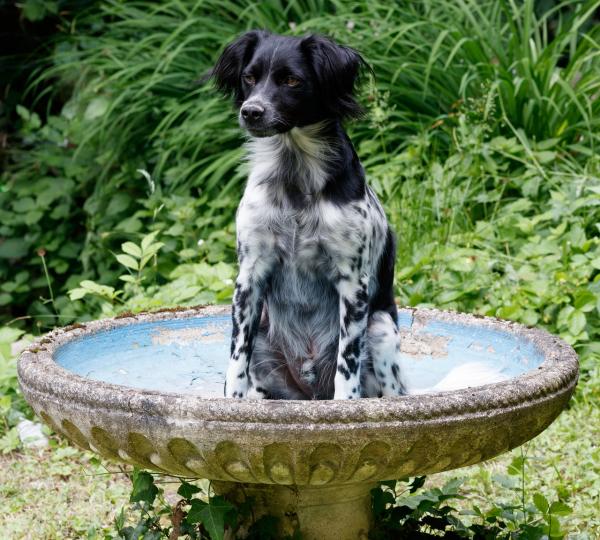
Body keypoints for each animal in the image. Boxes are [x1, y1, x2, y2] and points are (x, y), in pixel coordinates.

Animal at [209, 30, 406, 400]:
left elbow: (347, 365)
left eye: (291, 80)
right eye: (249, 77)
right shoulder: (249, 277)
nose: (251, 112)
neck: (295, 177)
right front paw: (232, 403)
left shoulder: (353, 284)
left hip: (381, 327)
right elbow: (236, 360)